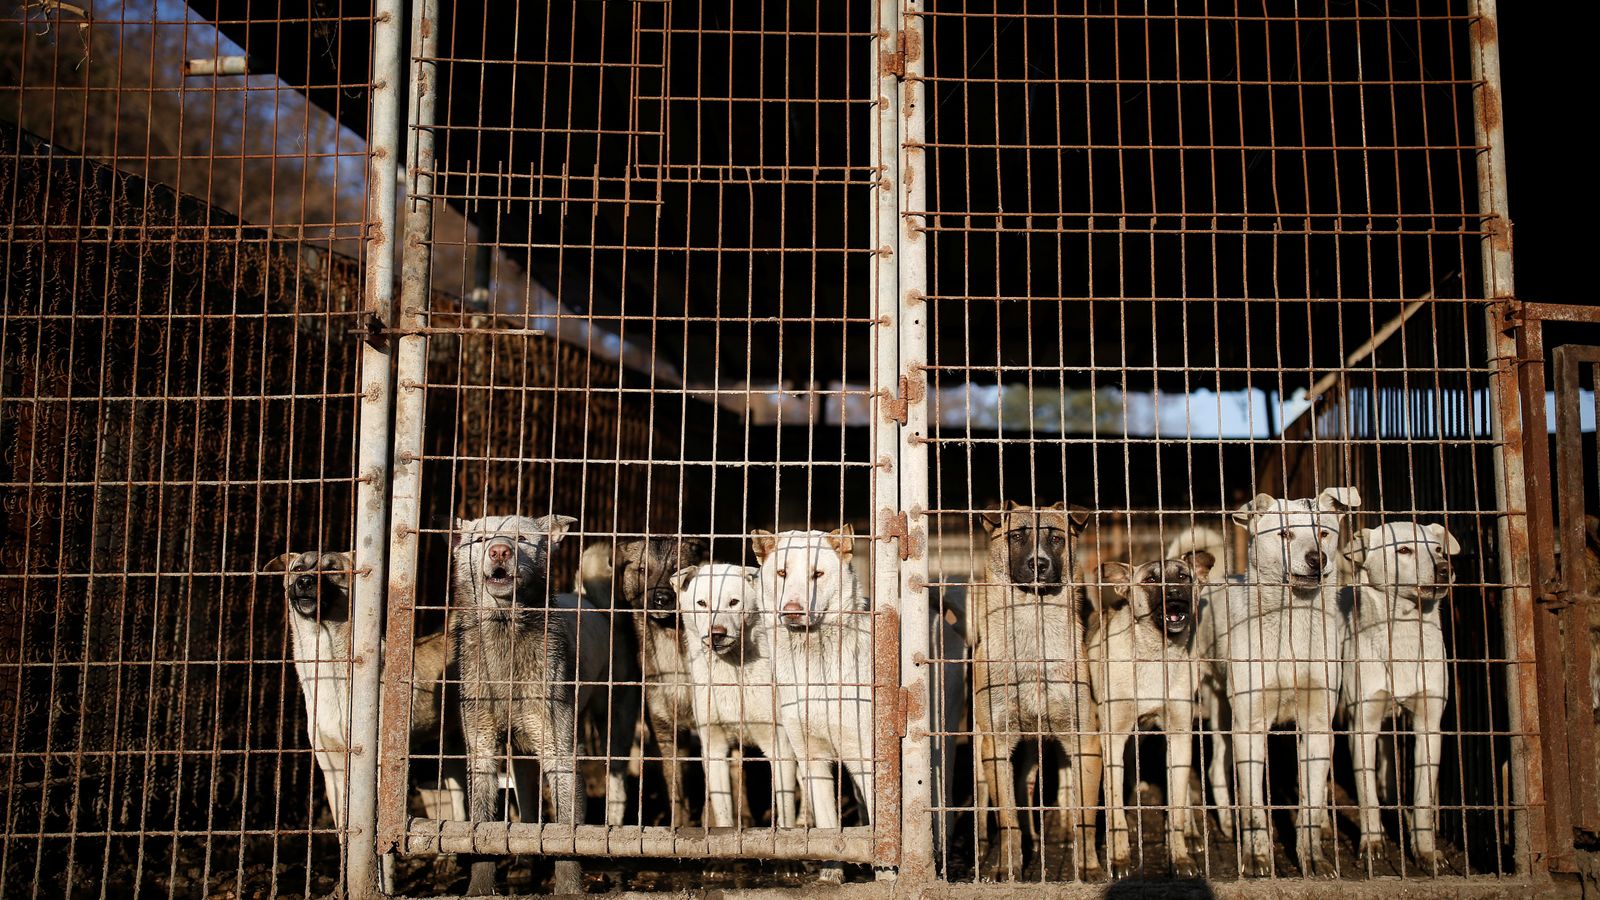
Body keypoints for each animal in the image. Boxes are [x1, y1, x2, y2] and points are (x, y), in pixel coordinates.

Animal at [672, 563, 800, 826]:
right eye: (702, 603)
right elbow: (724, 817)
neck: (732, 675)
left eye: (734, 602)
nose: (716, 633)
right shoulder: (714, 749)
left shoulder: (779, 746)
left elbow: (786, 816)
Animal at [966, 499, 1107, 877]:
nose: (1038, 564)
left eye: (1056, 538)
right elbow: (1007, 816)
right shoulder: (997, 741)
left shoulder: (1085, 740)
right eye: (1016, 536)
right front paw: (1007, 867)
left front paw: (1087, 866)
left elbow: (1086, 814)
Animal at [1088, 547, 1209, 877]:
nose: (1176, 593)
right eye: (1151, 580)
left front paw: (1180, 858)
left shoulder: (1179, 735)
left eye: (1183, 576)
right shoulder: (1113, 736)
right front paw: (1119, 858)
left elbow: (1176, 806)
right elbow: (1115, 807)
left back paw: (1192, 831)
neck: (1156, 655)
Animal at [1203, 486, 1356, 871]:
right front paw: (1257, 856)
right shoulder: (1250, 726)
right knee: (1216, 770)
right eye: (1285, 534)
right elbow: (1256, 805)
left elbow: (1310, 803)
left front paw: (1312, 857)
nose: (1317, 558)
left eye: (1323, 533)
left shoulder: (1317, 725)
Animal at [1337, 522, 1465, 864]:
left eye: (1438, 549)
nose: (1445, 569)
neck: (1404, 632)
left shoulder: (1428, 727)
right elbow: (1367, 796)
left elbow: (1422, 799)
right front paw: (1371, 844)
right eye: (1404, 549)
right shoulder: (1362, 726)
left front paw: (1426, 850)